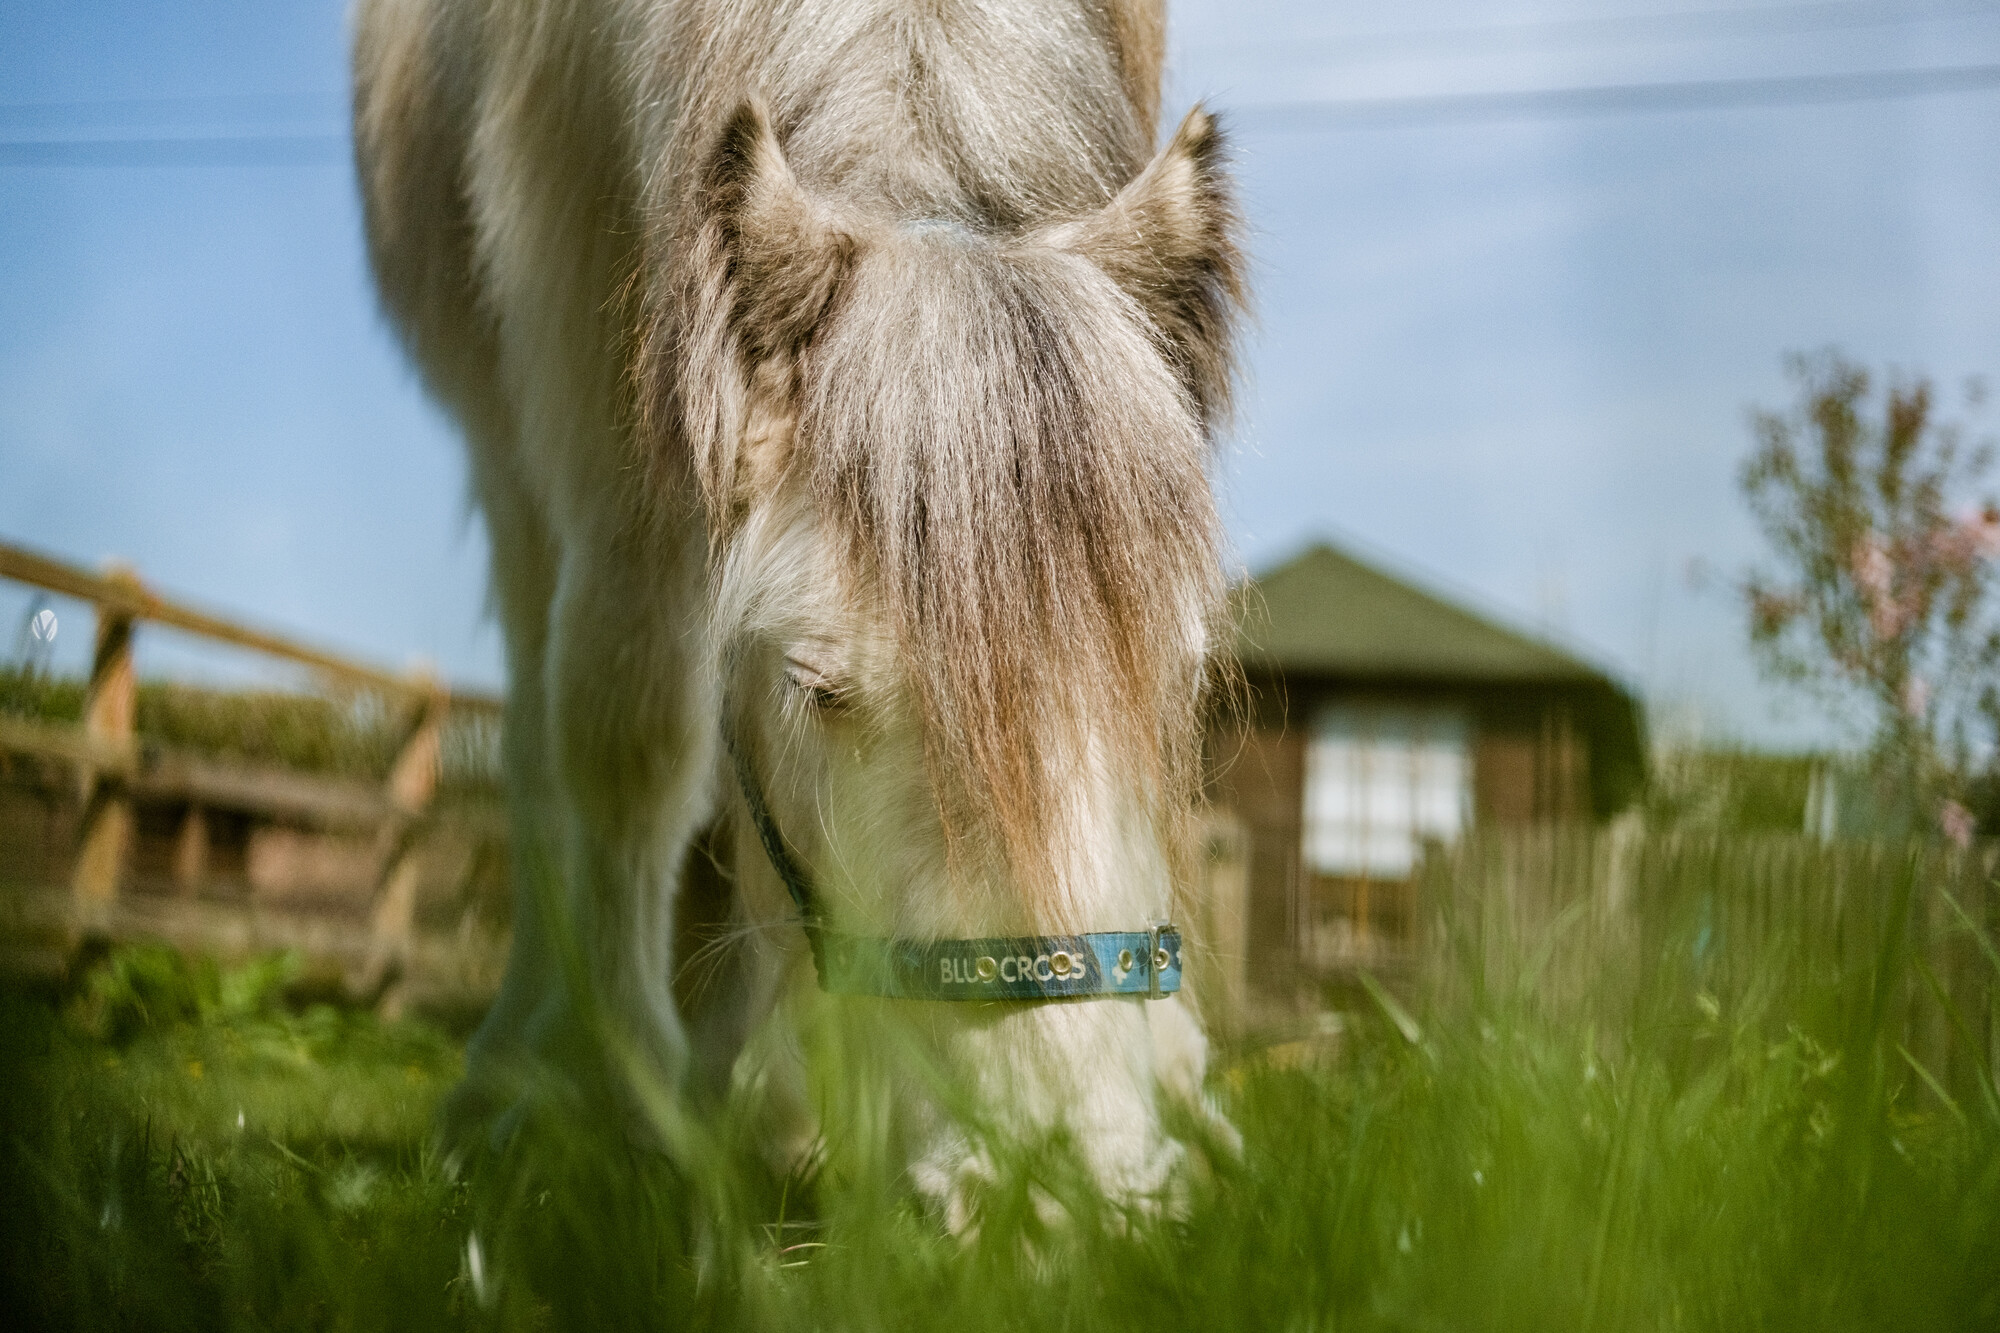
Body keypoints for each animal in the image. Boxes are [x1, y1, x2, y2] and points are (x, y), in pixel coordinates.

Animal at [352, 0, 1240, 1216]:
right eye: (818, 690)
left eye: (1183, 682)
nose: (1051, 1184)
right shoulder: (599, 388)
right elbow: (628, 739)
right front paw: (629, 1100)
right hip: (512, 462)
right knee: (540, 747)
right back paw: (530, 1070)